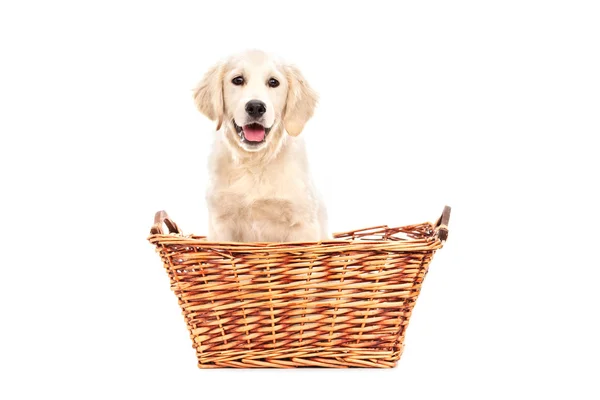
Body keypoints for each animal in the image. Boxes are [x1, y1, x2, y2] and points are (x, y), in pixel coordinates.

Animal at [193, 50, 328, 244]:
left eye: (273, 82)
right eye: (238, 80)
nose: (256, 107)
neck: (255, 162)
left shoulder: (303, 224)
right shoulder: (220, 223)